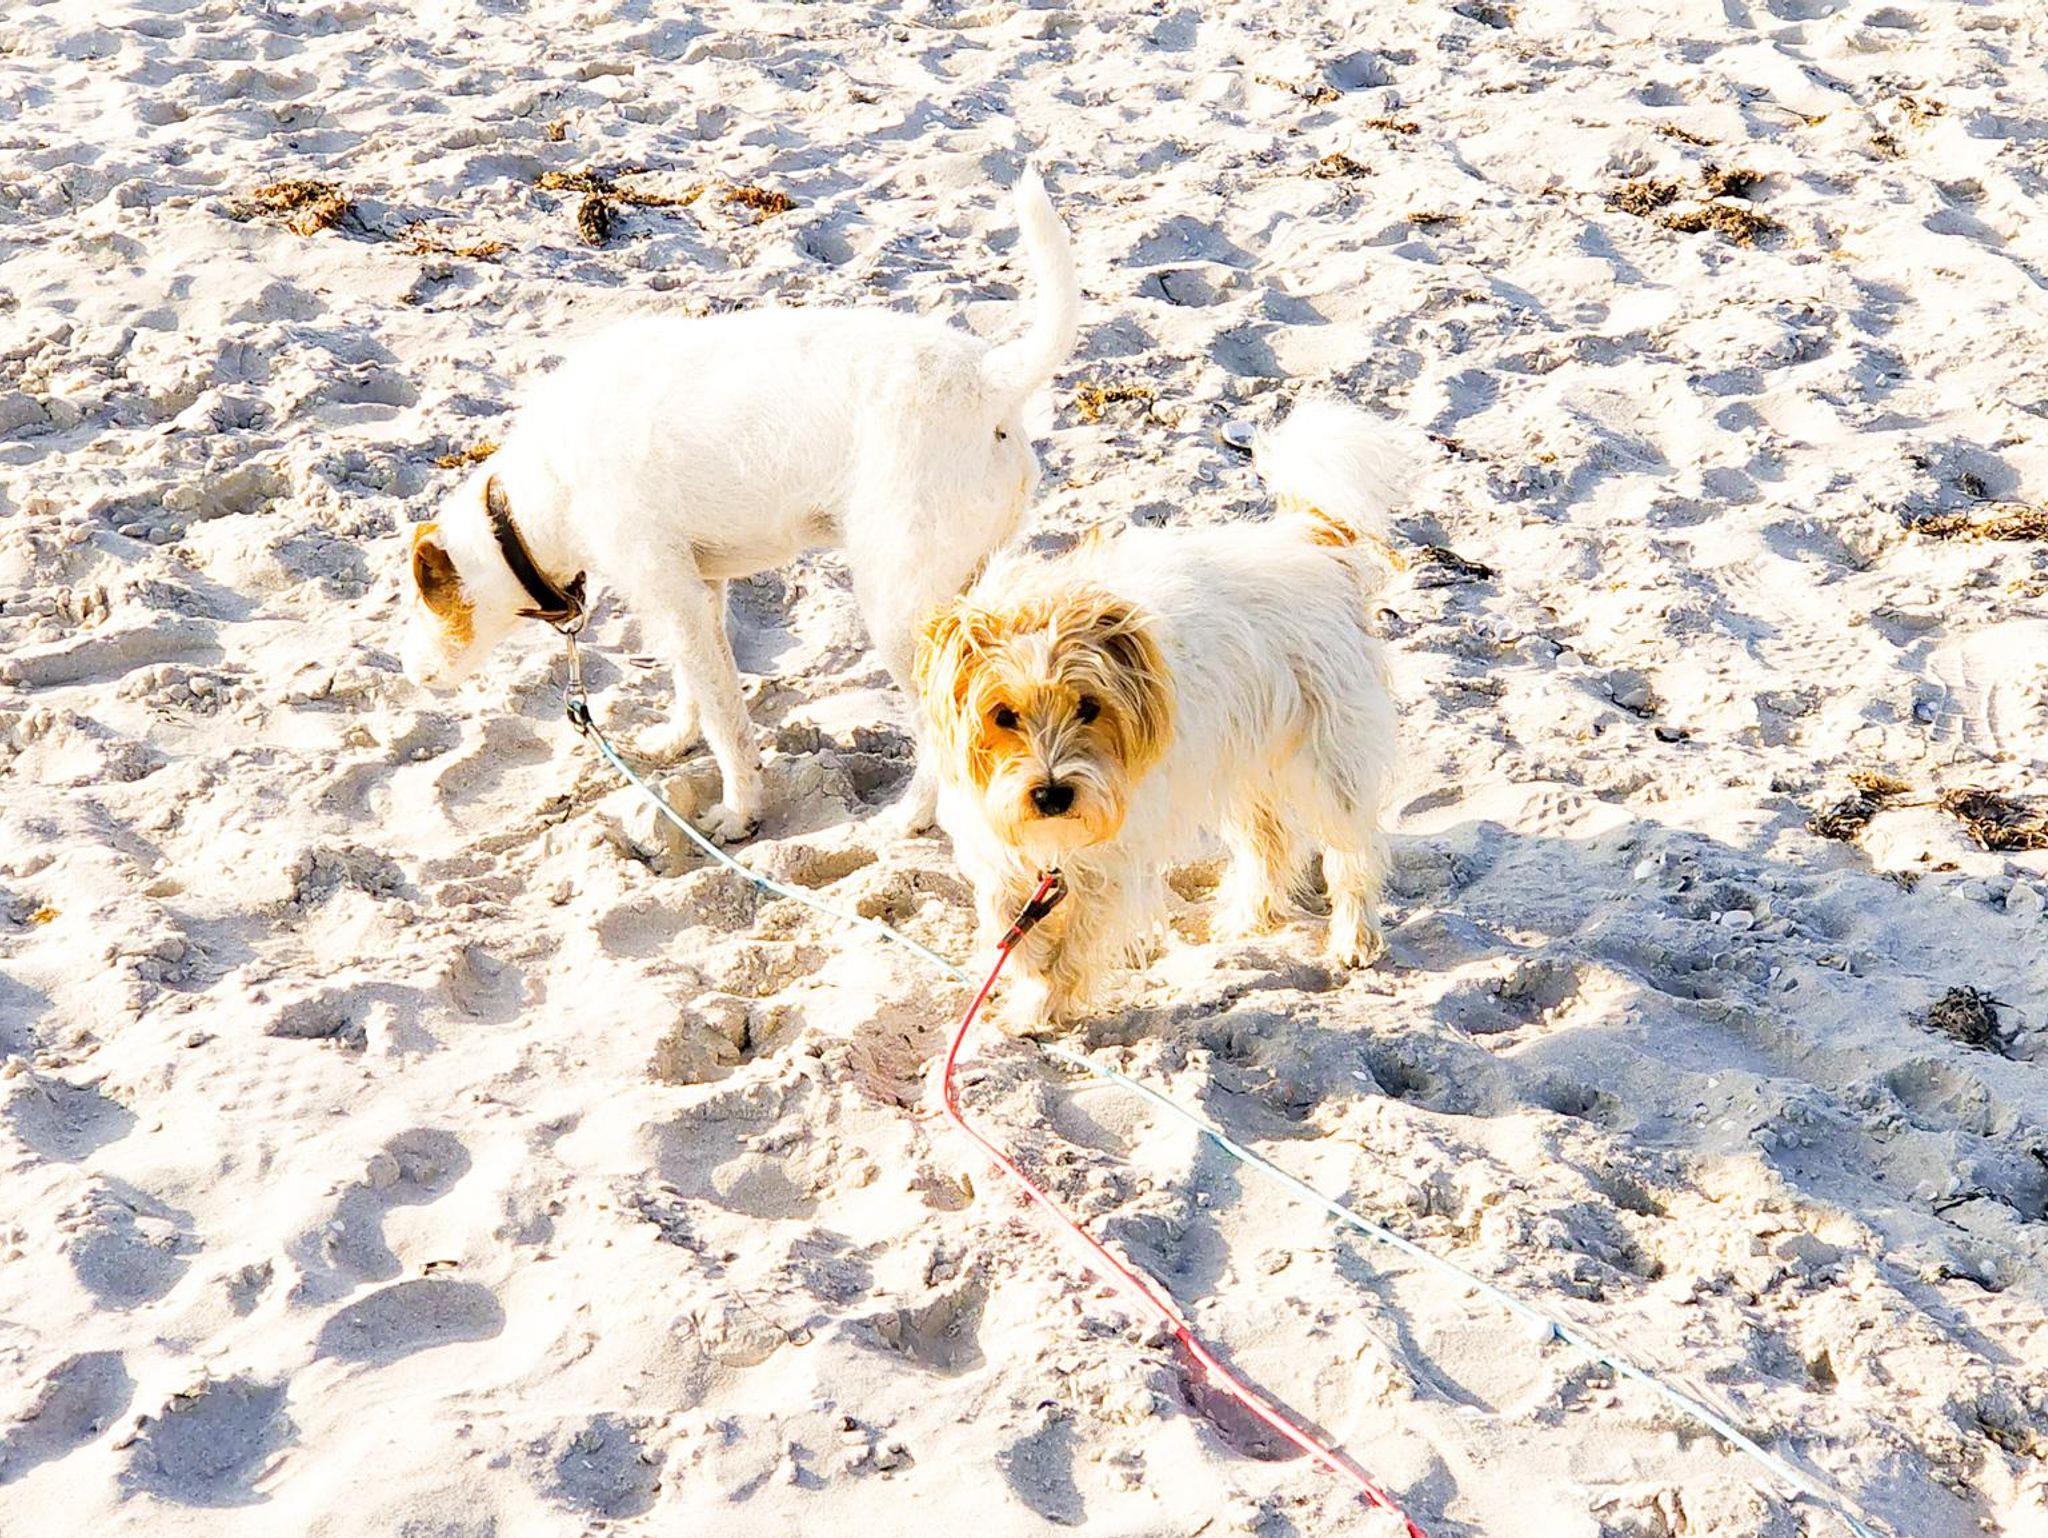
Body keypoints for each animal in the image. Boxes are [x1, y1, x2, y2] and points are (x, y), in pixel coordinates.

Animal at [401, 166, 1078, 842]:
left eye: (423, 602)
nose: (411, 676)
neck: (534, 495)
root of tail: (986, 378)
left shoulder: (674, 595)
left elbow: (725, 719)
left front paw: (738, 809)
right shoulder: (696, 593)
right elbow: (692, 688)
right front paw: (675, 740)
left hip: (898, 608)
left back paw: (909, 817)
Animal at [916, 395, 1407, 1031]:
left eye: (1089, 707)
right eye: (1004, 716)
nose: (1052, 795)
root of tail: (1312, 538)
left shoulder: (1113, 858)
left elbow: (1076, 943)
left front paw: (1041, 1006)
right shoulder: (997, 841)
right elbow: (1010, 924)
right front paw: (1028, 975)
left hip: (1331, 763)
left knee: (1352, 854)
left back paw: (1354, 936)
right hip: (1246, 760)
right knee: (1271, 842)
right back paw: (1246, 917)